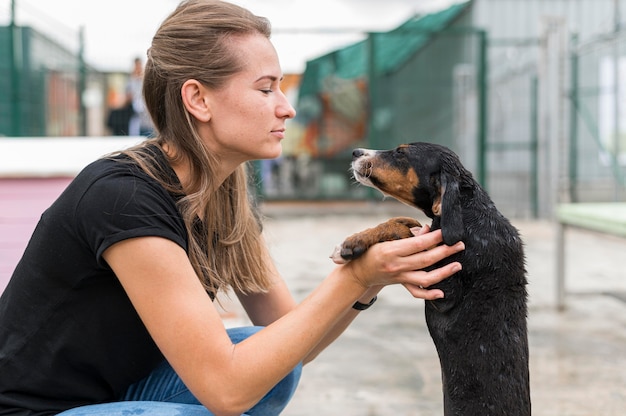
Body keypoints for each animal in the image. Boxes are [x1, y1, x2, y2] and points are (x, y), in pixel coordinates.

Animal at [330, 142, 528, 416]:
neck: (467, 213)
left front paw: (352, 243)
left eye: (401, 153)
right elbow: (403, 224)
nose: (356, 152)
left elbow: (404, 233)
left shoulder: (445, 289)